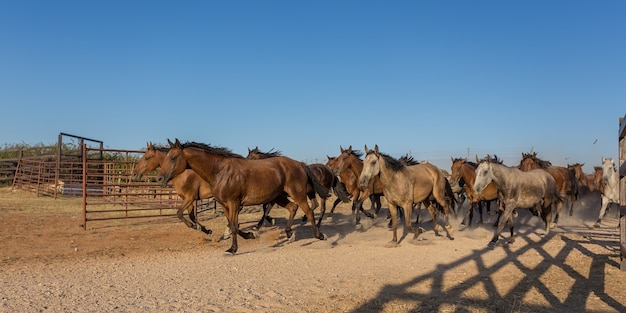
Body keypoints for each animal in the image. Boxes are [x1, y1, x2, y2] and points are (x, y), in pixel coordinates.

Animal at [158, 139, 330, 254]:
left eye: (173, 157)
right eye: (166, 157)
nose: (160, 178)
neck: (220, 171)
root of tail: (299, 164)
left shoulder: (234, 202)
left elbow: (234, 225)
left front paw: (233, 248)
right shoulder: (224, 204)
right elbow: (232, 223)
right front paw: (249, 235)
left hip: (298, 194)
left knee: (309, 212)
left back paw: (320, 235)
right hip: (280, 196)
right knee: (293, 208)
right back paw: (289, 234)